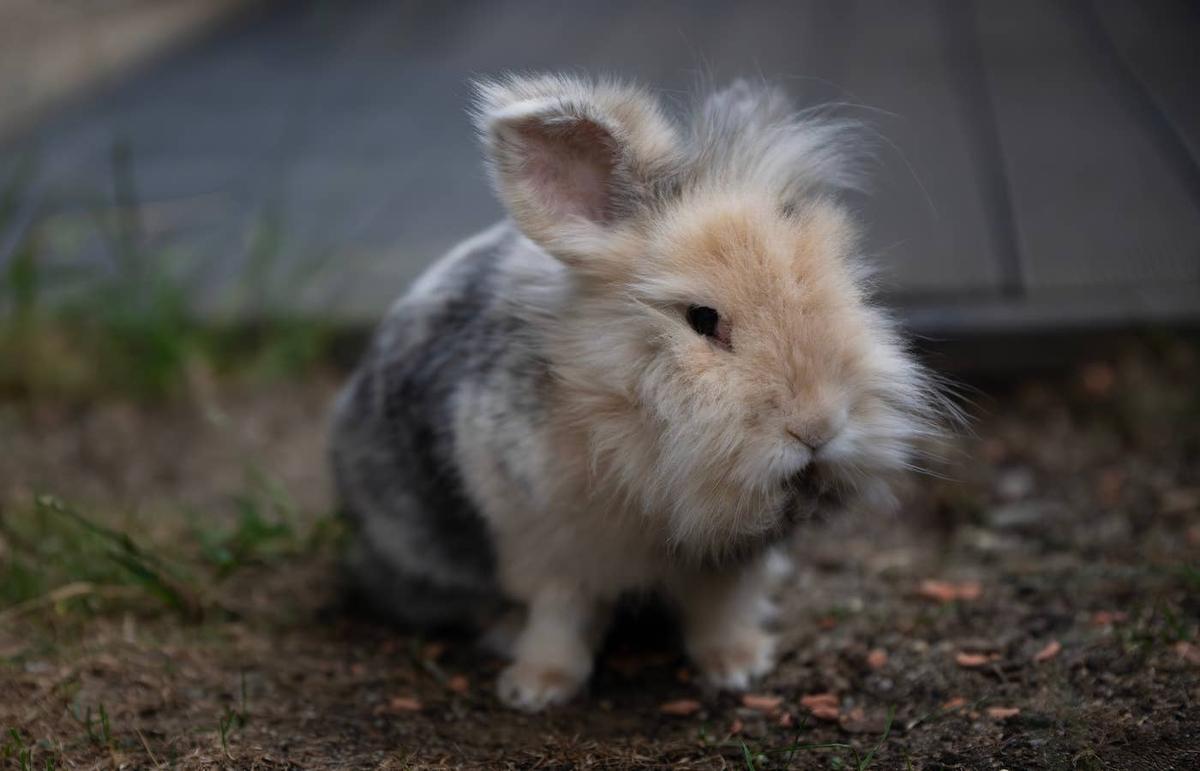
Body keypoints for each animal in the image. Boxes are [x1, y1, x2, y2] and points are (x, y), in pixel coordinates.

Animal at [330, 74, 944, 712]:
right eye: (702, 318)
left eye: (850, 287)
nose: (819, 427)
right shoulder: (548, 550)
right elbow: (559, 618)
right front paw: (535, 689)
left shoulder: (726, 564)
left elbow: (720, 611)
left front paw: (739, 667)